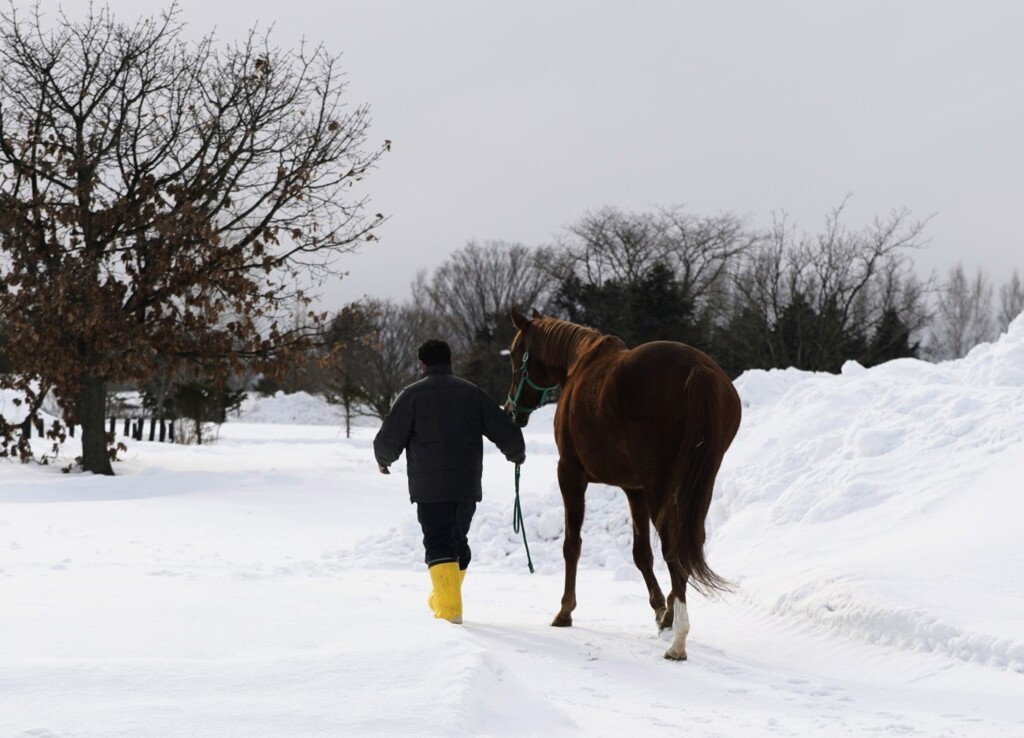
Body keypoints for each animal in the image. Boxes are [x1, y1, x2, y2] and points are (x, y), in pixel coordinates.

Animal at [505, 307, 741, 659]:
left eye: (517, 353)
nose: (511, 411)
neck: (579, 363)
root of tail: (696, 370)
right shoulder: (635, 489)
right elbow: (641, 553)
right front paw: (661, 609)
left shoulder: (570, 474)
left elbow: (572, 544)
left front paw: (565, 611)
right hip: (697, 484)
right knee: (688, 541)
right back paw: (673, 619)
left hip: (660, 485)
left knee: (673, 546)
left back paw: (678, 640)